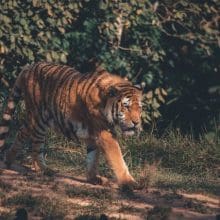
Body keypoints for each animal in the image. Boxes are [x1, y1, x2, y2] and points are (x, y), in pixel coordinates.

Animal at [0, 61, 143, 186]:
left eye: (139, 108)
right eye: (126, 106)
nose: (136, 123)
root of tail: (29, 67)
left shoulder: (93, 135)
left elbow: (92, 157)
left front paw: (93, 178)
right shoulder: (105, 133)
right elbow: (117, 157)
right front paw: (129, 182)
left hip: (36, 119)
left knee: (22, 132)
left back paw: (9, 159)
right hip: (38, 119)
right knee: (36, 146)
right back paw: (43, 169)